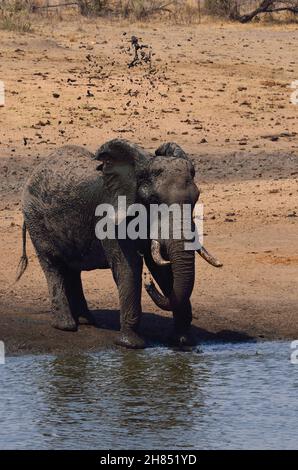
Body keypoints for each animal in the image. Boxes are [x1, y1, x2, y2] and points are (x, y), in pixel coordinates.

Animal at [16, 140, 221, 348]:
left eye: (196, 198)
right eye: (153, 200)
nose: (148, 284)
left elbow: (161, 268)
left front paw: (183, 342)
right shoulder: (110, 214)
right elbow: (129, 266)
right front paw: (130, 345)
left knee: (73, 269)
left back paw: (85, 321)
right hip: (35, 218)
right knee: (53, 266)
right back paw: (65, 325)